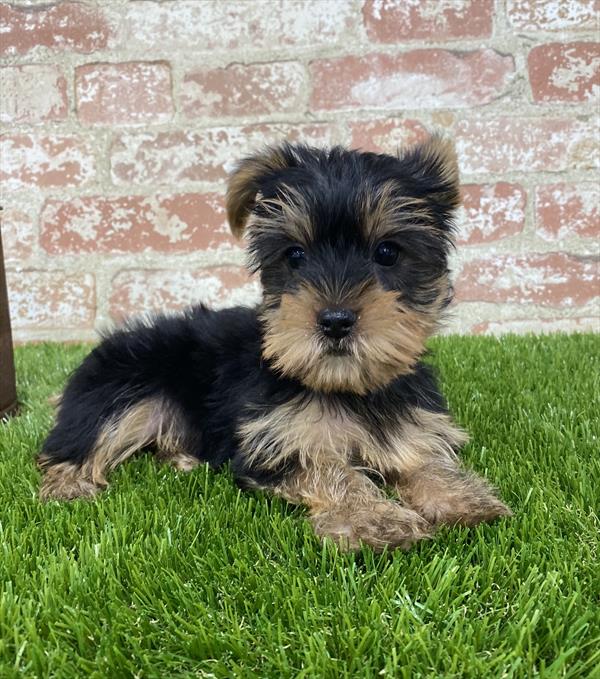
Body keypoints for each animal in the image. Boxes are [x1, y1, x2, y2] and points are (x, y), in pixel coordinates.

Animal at [37, 138, 510, 552]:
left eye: (388, 253)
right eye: (295, 255)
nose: (335, 321)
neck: (346, 387)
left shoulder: (409, 420)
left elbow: (421, 458)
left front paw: (461, 499)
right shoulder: (273, 438)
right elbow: (329, 468)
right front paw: (373, 519)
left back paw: (184, 459)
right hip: (121, 388)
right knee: (75, 441)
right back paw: (67, 485)